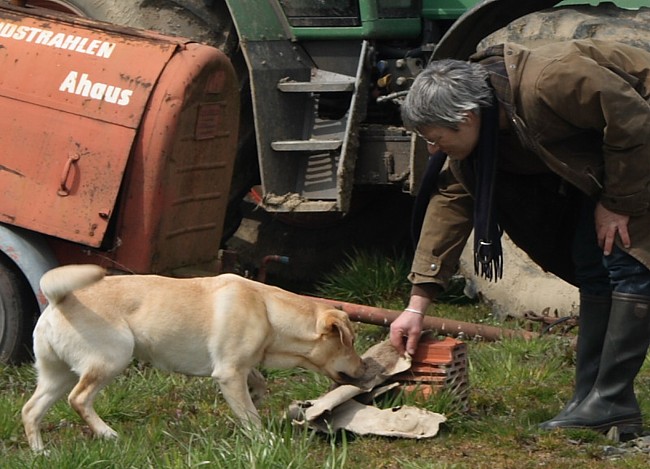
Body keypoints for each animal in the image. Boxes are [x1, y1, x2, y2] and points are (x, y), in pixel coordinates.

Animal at [21, 264, 364, 450]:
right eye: (350, 343)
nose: (365, 367)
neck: (268, 311)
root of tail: (59, 300)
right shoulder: (229, 372)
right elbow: (252, 417)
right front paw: (265, 441)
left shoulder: (235, 369)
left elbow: (257, 385)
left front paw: (254, 397)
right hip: (113, 359)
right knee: (79, 400)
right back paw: (107, 433)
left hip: (57, 377)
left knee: (30, 410)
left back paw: (41, 453)